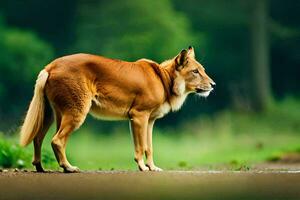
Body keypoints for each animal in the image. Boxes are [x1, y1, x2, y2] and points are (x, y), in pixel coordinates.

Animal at [19, 46, 216, 172]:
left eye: (203, 70)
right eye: (195, 72)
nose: (213, 85)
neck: (164, 80)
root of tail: (50, 66)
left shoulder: (149, 121)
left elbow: (149, 147)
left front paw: (152, 167)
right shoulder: (139, 117)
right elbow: (141, 147)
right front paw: (143, 168)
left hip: (53, 115)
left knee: (38, 138)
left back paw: (40, 168)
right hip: (76, 114)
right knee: (57, 140)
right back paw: (68, 168)